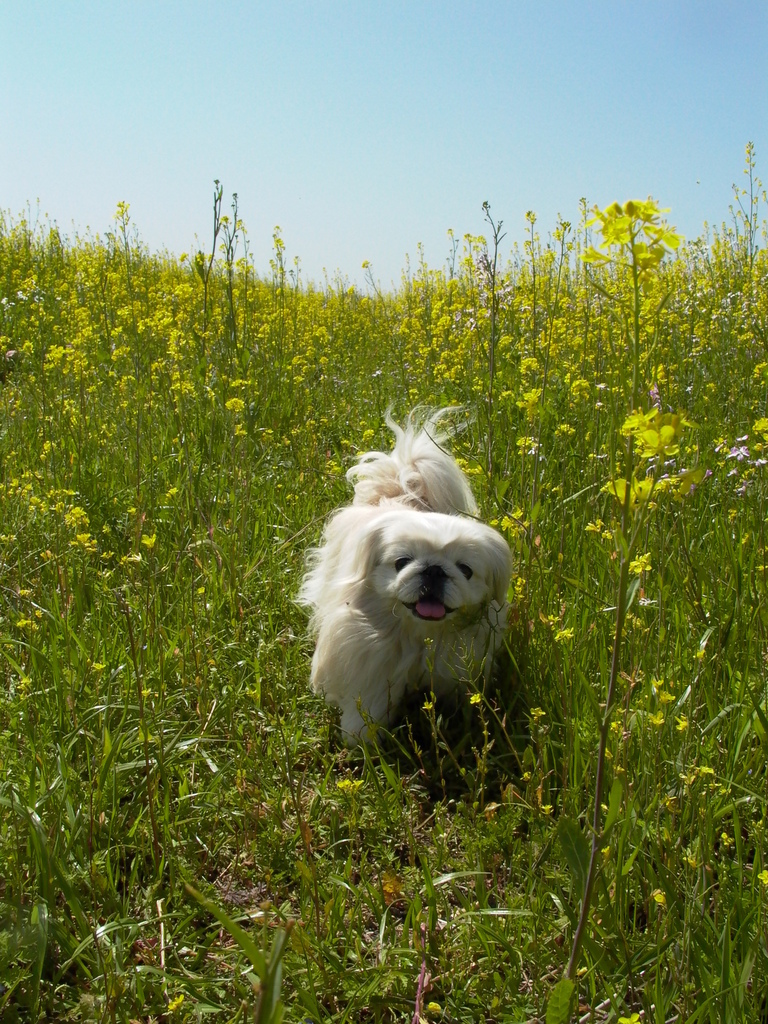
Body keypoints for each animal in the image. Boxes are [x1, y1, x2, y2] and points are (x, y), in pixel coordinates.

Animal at [298, 410, 512, 743]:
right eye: (402, 562)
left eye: (465, 570)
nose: (434, 570)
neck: (418, 635)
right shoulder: (368, 662)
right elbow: (365, 709)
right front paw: (360, 740)